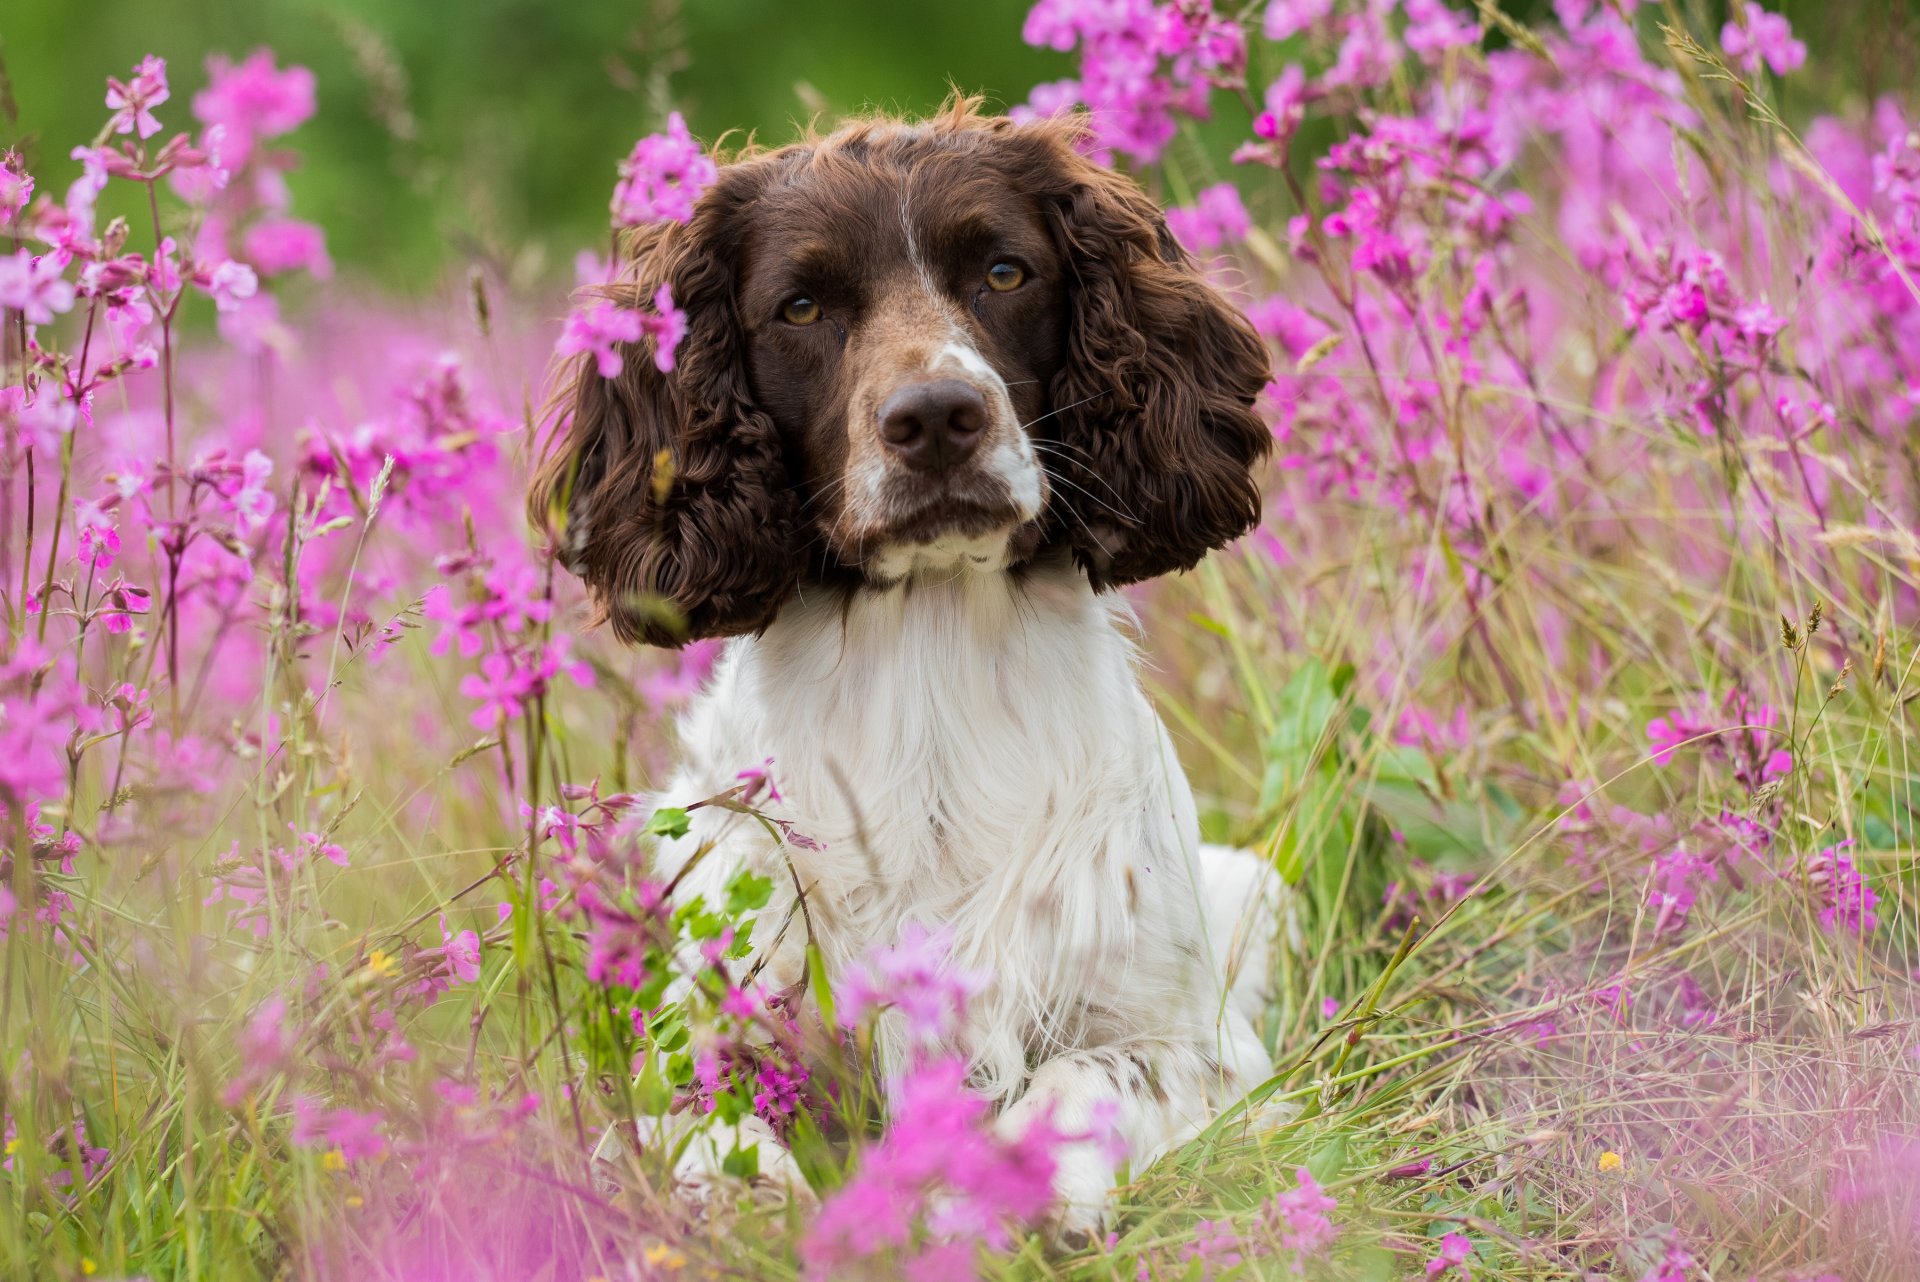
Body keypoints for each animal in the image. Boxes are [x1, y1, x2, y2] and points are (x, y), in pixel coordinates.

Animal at [533, 102, 1290, 1228]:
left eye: (1006, 272)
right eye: (800, 305)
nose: (935, 418)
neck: (928, 668)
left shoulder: (1193, 1042)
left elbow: (1089, 1076)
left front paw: (1019, 1188)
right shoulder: (706, 1037)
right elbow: (710, 1129)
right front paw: (740, 1208)